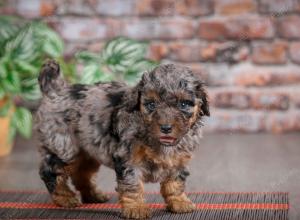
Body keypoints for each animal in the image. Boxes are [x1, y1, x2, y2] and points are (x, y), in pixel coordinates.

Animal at [35, 59, 209, 218]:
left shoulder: (178, 160)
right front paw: (136, 208)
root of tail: (56, 90)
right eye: (151, 104)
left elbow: (175, 182)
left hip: (88, 150)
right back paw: (65, 198)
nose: (166, 128)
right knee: (50, 171)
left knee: (82, 173)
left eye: (184, 104)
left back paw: (93, 195)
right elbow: (132, 185)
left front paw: (180, 202)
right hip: (64, 146)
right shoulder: (128, 159)